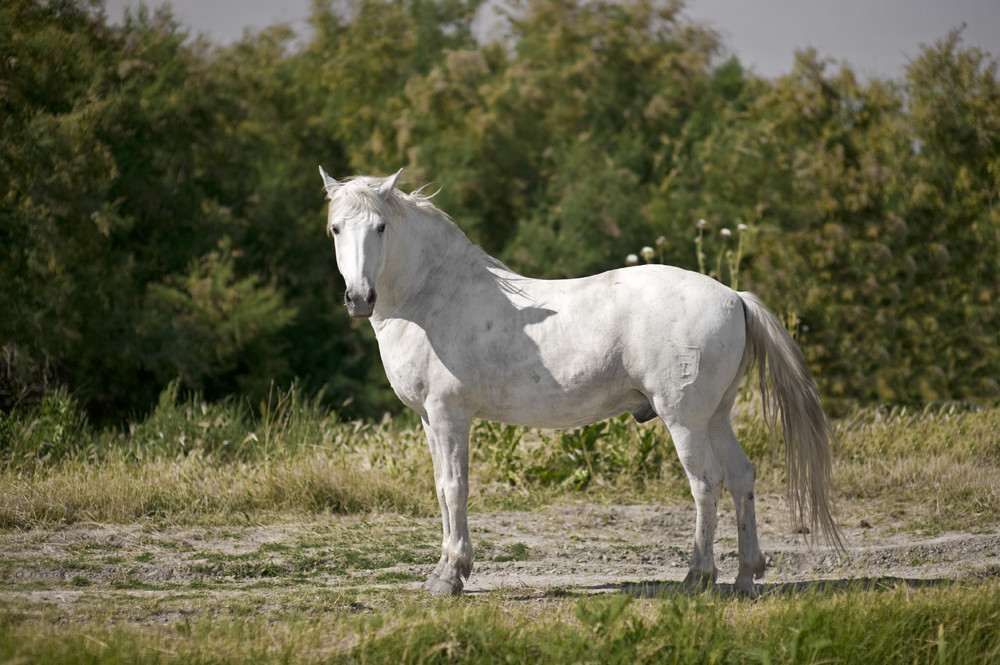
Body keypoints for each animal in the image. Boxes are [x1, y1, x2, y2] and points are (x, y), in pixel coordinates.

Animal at [320, 167, 844, 596]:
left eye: (381, 227)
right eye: (336, 228)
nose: (360, 298)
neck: (432, 295)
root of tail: (734, 296)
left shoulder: (450, 416)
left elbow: (454, 488)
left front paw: (450, 575)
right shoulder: (431, 420)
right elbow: (441, 489)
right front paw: (446, 569)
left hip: (686, 421)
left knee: (706, 483)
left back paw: (697, 576)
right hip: (716, 418)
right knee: (740, 478)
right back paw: (745, 577)